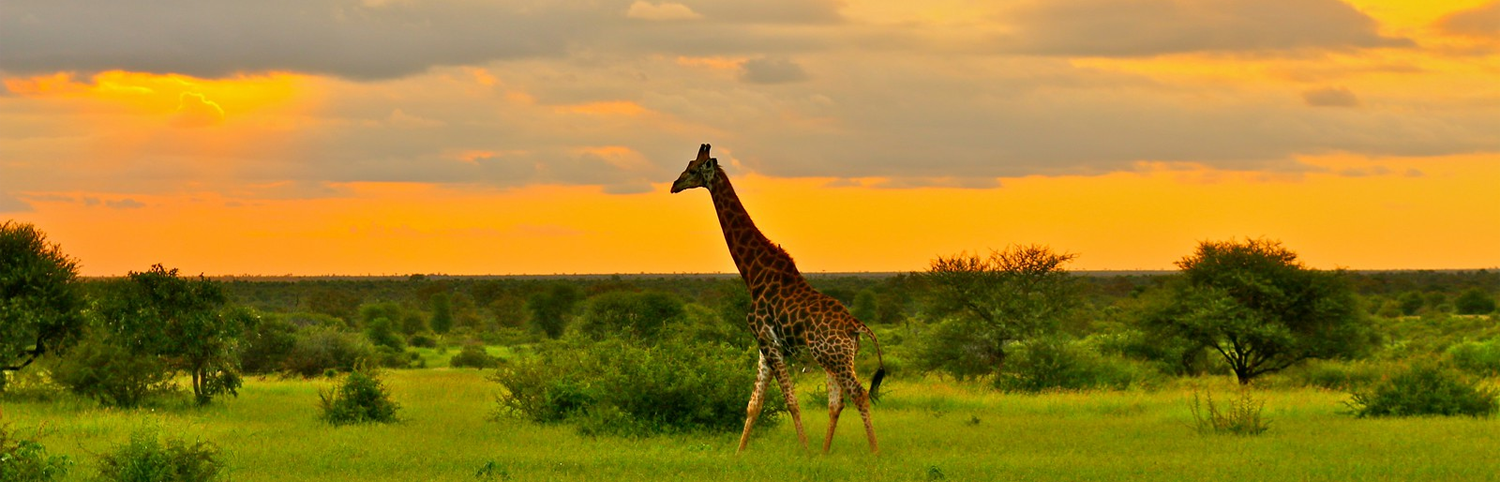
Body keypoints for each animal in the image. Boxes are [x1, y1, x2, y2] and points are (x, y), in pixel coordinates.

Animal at [672, 143, 888, 453]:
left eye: (692, 170)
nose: (674, 185)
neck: (754, 272)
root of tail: (856, 326)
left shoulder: (767, 339)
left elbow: (790, 400)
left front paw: (805, 452)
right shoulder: (765, 345)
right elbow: (754, 403)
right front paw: (739, 454)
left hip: (832, 356)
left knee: (858, 394)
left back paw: (873, 452)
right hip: (834, 357)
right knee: (837, 402)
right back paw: (826, 453)